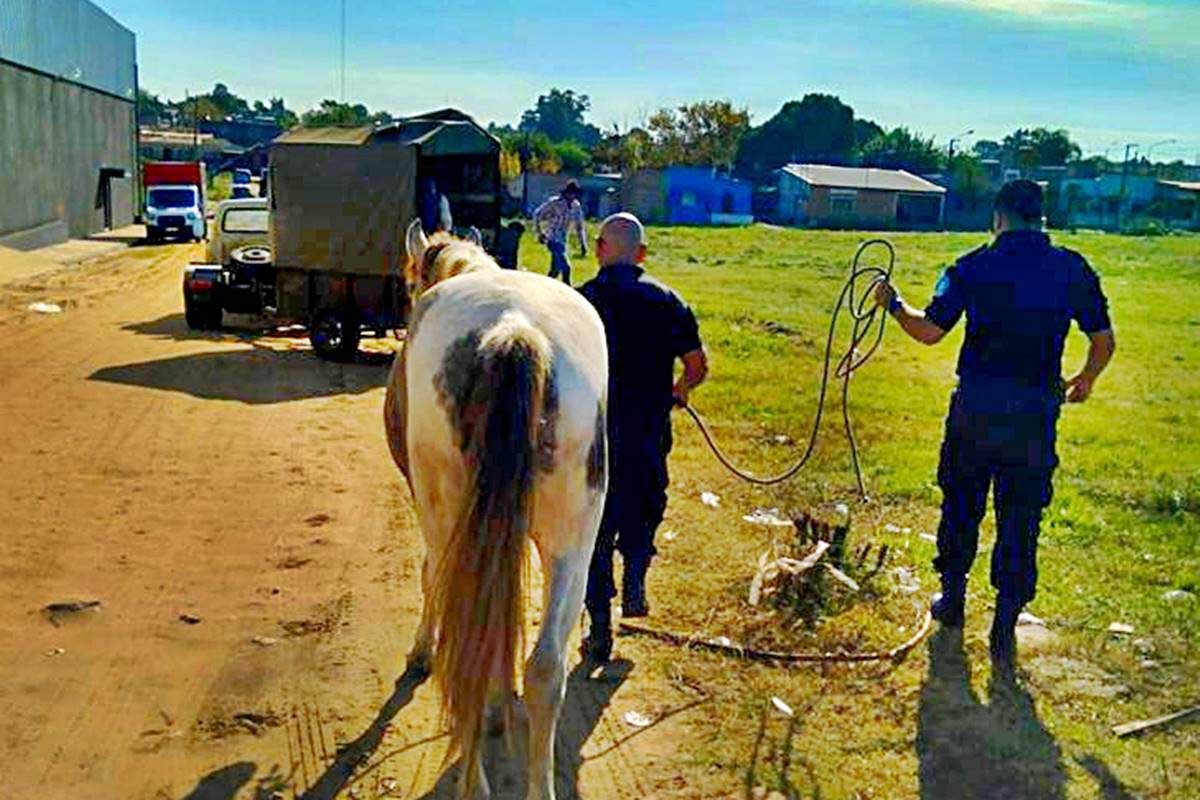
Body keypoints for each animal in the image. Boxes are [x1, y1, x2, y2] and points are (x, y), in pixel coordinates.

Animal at [383, 220, 608, 800]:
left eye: (408, 282)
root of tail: (514, 329)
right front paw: (498, 707)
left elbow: (432, 581)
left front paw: (422, 655)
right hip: (575, 539)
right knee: (546, 667)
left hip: (447, 513)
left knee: (464, 639)